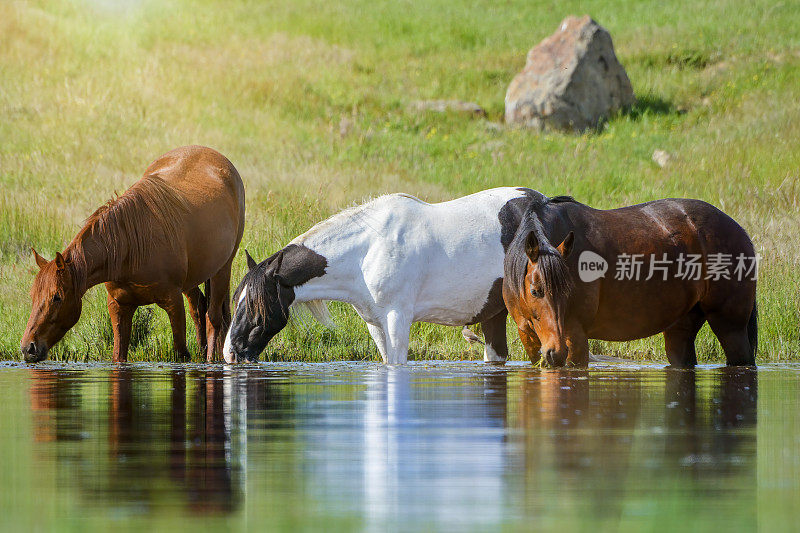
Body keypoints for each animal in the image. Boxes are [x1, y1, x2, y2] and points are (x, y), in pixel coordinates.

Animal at [22, 144, 247, 362]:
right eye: (32, 295)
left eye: (57, 297)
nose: (28, 348)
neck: (129, 251)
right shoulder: (119, 306)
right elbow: (119, 355)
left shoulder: (173, 302)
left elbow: (180, 354)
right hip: (193, 278)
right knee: (199, 308)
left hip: (222, 270)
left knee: (213, 318)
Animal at [222, 185, 540, 364]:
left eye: (256, 307)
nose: (230, 353)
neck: (366, 251)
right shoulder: (375, 324)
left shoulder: (397, 319)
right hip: (495, 313)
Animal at [504, 193, 760, 368]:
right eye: (535, 291)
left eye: (569, 292)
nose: (556, 353)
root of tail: (739, 230)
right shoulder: (529, 337)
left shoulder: (575, 337)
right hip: (681, 328)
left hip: (730, 326)